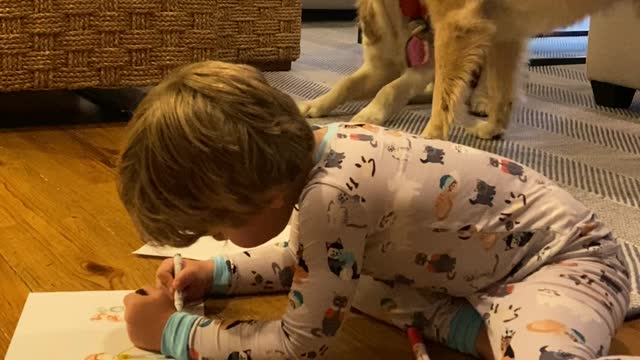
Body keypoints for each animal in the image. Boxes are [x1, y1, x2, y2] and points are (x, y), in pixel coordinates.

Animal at [298, 0, 438, 126]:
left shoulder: (426, 66)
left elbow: (390, 88)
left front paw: (371, 113)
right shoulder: (379, 69)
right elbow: (346, 83)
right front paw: (315, 104)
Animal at [420, 0, 640, 140]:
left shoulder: (455, 22)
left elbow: (442, 99)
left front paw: (430, 139)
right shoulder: (505, 34)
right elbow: (501, 93)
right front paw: (493, 129)